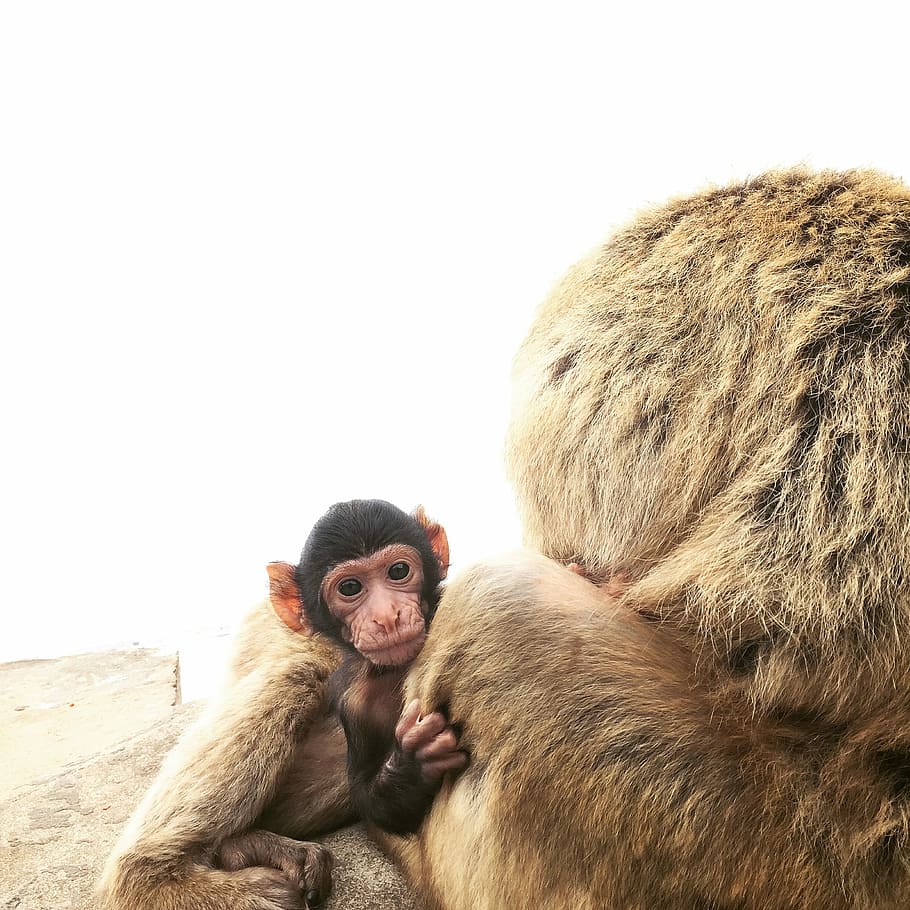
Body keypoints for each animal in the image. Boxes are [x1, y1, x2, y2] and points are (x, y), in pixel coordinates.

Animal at [267, 499, 468, 836]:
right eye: (349, 587)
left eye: (398, 571)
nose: (387, 616)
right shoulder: (353, 703)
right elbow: (369, 802)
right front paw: (416, 762)